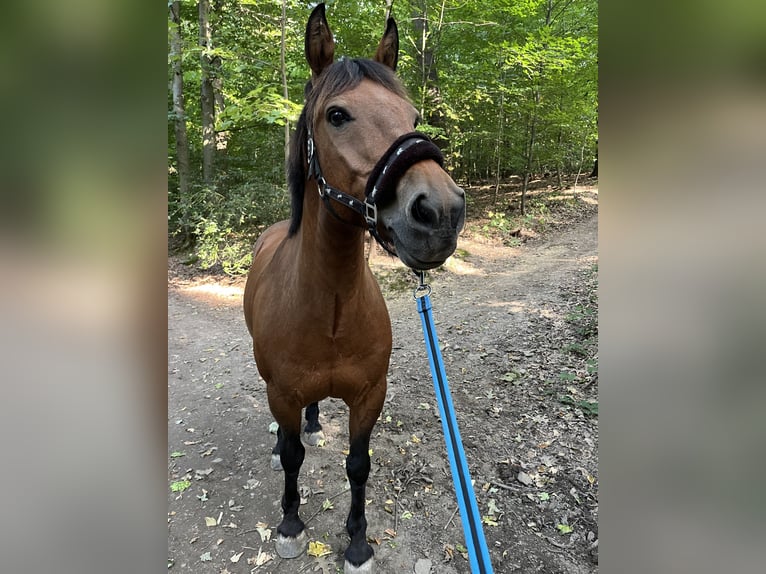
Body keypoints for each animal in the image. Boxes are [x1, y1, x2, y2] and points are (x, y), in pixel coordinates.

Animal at [243, 4, 465, 572]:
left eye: (413, 118)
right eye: (338, 115)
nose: (441, 211)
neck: (331, 308)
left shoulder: (369, 395)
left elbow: (359, 464)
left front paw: (359, 542)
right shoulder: (282, 393)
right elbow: (293, 456)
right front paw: (291, 524)